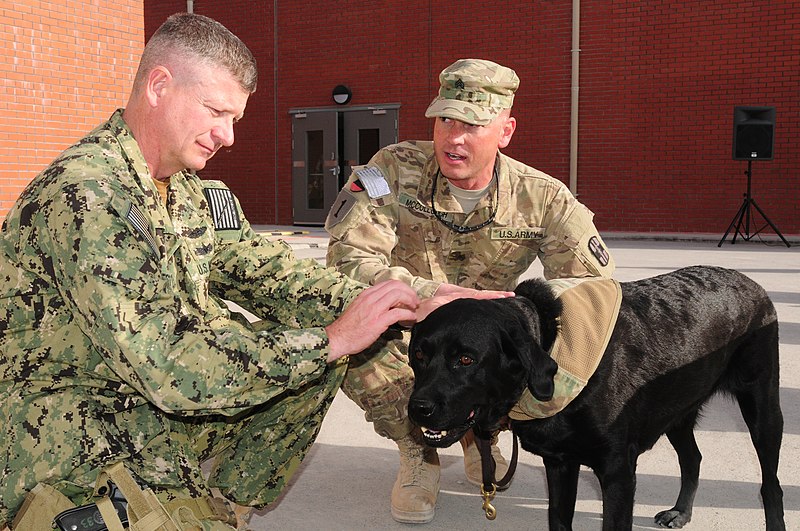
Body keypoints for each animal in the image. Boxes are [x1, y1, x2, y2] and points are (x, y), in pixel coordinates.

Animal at [410, 268, 784, 528]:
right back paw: (681, 512)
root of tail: (752, 284)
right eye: (419, 355)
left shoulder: (617, 471)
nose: (417, 408)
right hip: (677, 410)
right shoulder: (560, 463)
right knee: (693, 458)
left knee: (771, 486)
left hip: (763, 410)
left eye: (466, 360)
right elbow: (559, 520)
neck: (550, 341)